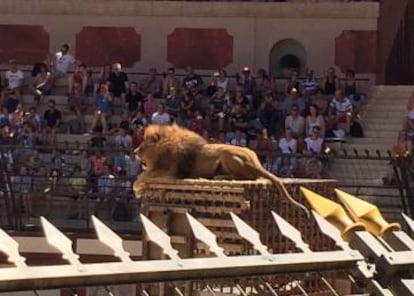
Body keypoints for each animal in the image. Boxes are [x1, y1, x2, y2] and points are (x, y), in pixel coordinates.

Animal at [134, 123, 308, 216]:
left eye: (144, 144)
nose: (135, 152)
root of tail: (256, 162)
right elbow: (145, 174)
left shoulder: (174, 173)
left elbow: (145, 176)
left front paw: (138, 188)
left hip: (226, 153)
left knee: (246, 178)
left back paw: (218, 178)